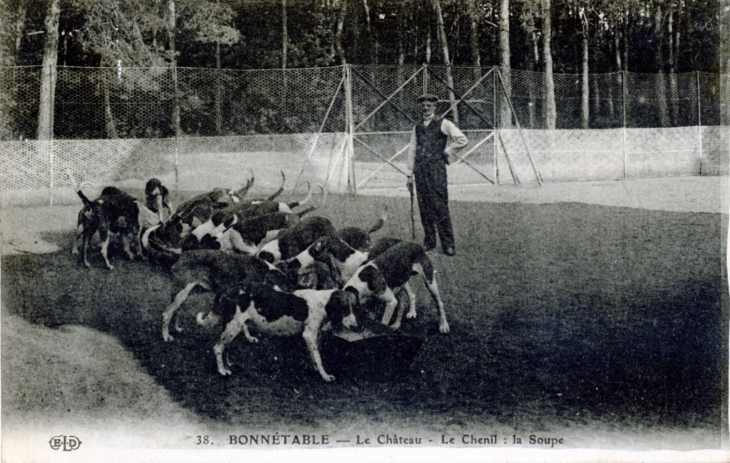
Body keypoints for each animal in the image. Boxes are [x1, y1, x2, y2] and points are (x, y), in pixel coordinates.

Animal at [195, 280, 356, 382]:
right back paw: (222, 371)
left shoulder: (312, 337)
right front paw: (325, 375)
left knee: (225, 347)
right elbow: (318, 357)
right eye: (345, 309)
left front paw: (317, 370)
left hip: (231, 327)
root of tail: (228, 289)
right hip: (233, 327)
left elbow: (314, 356)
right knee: (217, 348)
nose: (355, 326)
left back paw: (228, 365)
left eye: (354, 307)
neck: (323, 302)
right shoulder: (309, 335)